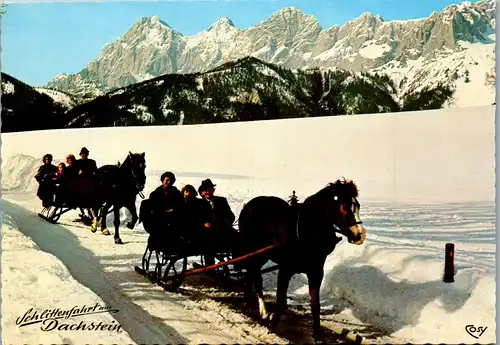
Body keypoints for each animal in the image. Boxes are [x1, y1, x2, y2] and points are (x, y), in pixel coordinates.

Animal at [236, 177, 366, 338]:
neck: (306, 231)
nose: (360, 235)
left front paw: (317, 333)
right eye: (345, 206)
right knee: (256, 277)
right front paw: (273, 325)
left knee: (250, 274)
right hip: (255, 252)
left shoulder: (316, 271)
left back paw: (246, 303)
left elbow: (315, 303)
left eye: (358, 205)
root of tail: (249, 205)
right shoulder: (285, 268)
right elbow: (280, 298)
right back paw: (263, 311)